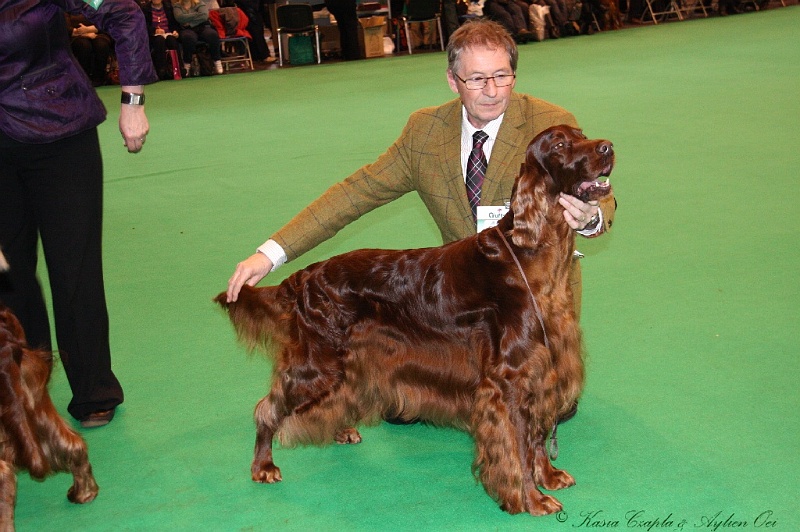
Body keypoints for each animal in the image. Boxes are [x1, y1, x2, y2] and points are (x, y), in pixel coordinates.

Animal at [212, 124, 612, 516]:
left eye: (581, 133)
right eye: (559, 145)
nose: (607, 147)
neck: (530, 255)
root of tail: (304, 276)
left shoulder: (543, 369)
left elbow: (537, 438)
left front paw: (549, 475)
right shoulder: (508, 380)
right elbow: (518, 444)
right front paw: (531, 499)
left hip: (346, 362)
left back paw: (340, 429)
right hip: (316, 365)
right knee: (267, 409)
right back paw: (263, 466)